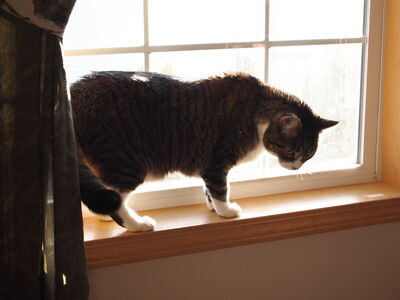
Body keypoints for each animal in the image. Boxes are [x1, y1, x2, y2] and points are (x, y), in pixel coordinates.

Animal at [69, 72, 338, 232]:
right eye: (292, 152)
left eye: (308, 156)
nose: (295, 167)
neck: (257, 112)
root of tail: (74, 94)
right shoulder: (217, 162)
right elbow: (220, 188)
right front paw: (226, 211)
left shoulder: (208, 166)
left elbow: (208, 189)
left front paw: (214, 207)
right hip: (127, 162)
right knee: (116, 200)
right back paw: (138, 224)